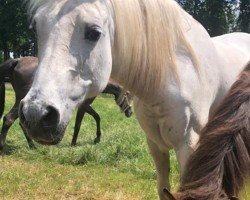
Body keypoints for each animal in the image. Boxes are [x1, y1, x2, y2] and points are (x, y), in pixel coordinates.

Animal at [0, 57, 133, 149]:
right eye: (129, 96)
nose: (130, 113)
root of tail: (18, 60)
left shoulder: (85, 106)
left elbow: (96, 117)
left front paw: (97, 138)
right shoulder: (83, 106)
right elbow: (79, 124)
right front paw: (74, 143)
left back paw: (32, 145)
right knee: (9, 119)